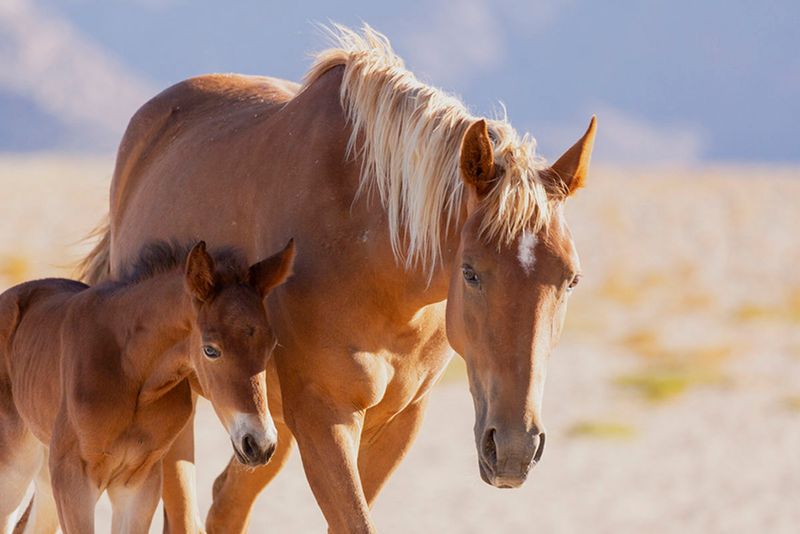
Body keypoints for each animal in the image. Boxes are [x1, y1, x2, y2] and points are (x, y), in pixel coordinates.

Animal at [0, 242, 294, 534]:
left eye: (271, 346)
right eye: (210, 350)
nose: (260, 444)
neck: (130, 373)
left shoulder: (139, 483)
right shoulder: (74, 479)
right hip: (15, 469)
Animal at [78, 23, 596, 532]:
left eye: (570, 281)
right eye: (469, 273)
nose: (513, 450)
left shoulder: (398, 422)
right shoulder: (324, 418)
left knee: (227, 503)